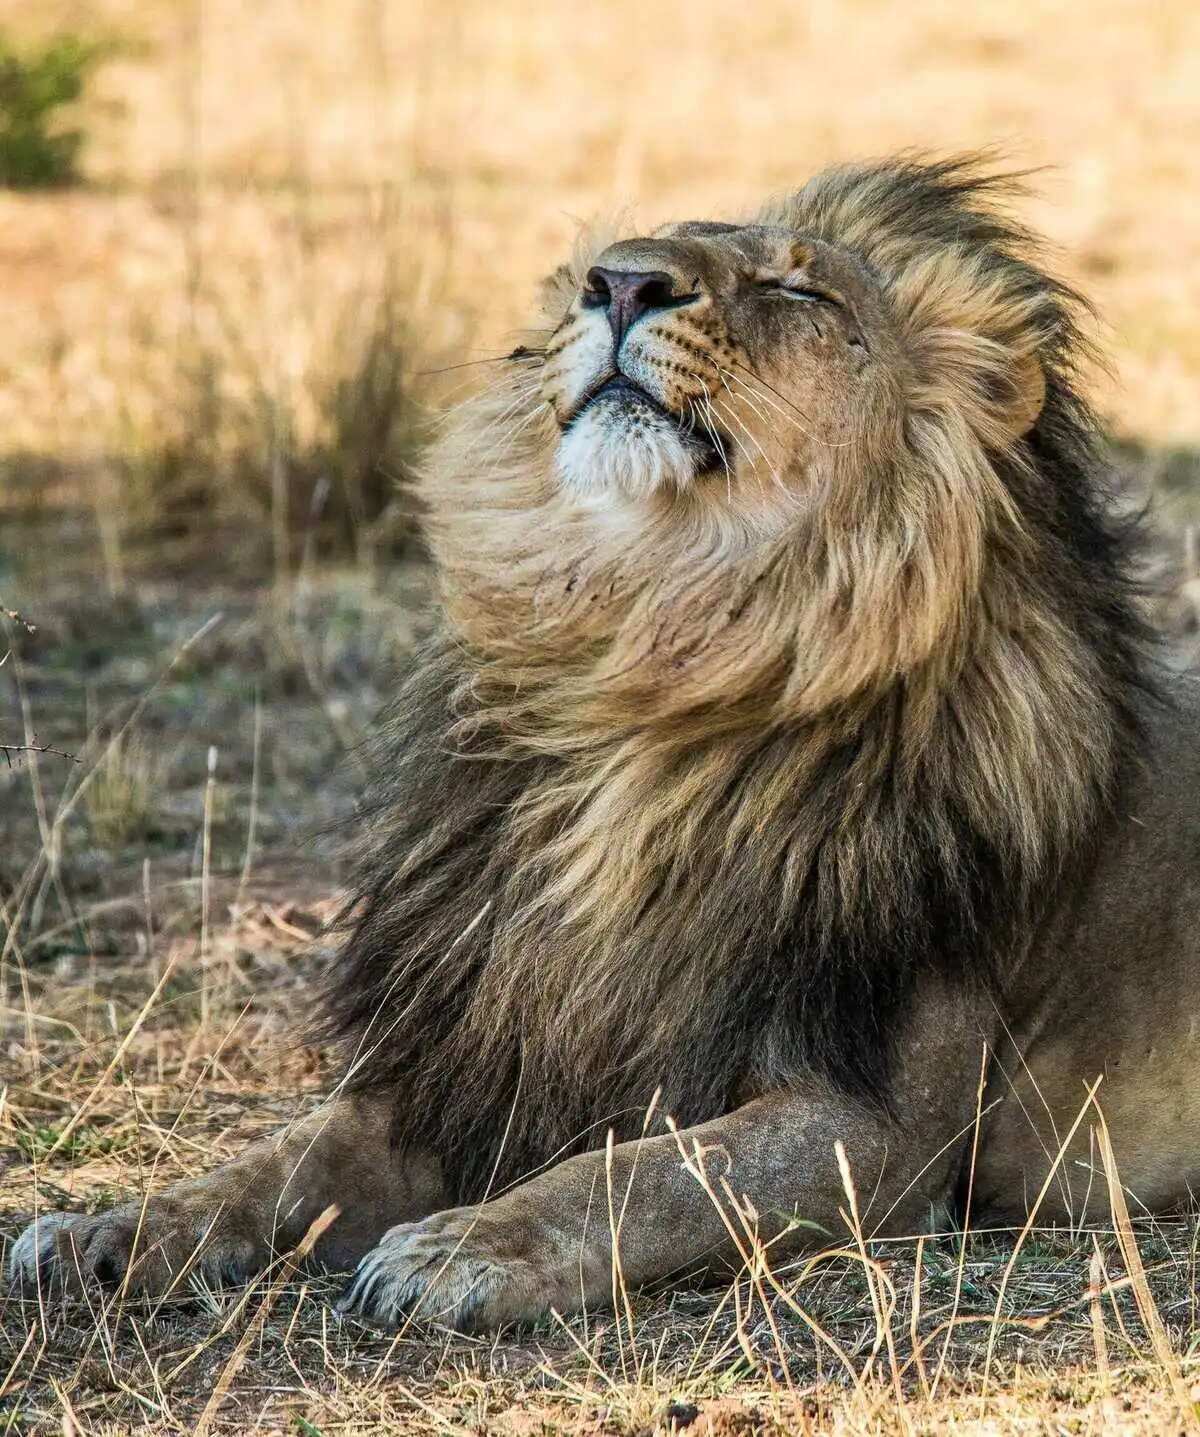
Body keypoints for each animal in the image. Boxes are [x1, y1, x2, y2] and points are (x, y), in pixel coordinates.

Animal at [9, 151, 1200, 1327]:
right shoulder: (472, 1050)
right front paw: (109, 1229)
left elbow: (639, 1174)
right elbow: (276, 1161)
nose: (622, 283)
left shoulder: (879, 1127)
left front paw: (461, 1248)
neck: (648, 664)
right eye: (603, 268)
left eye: (800, 291)